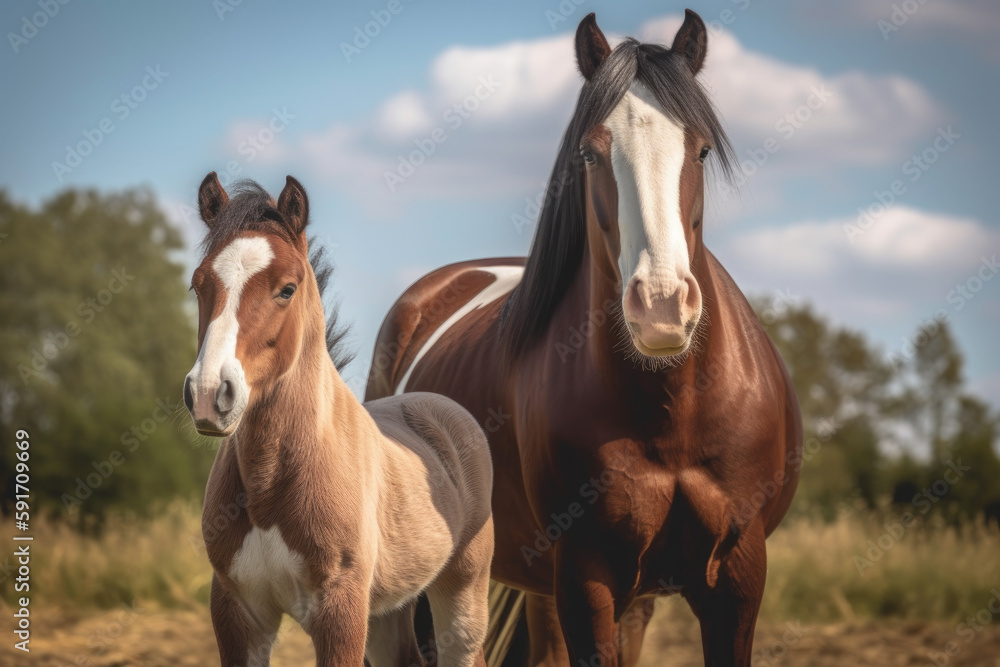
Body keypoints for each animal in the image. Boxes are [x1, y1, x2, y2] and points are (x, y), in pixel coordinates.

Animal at [185, 174, 496, 667]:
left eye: (287, 288)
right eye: (198, 286)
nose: (208, 394)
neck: (269, 482)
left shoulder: (340, 610)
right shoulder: (238, 611)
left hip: (463, 591)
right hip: (387, 612)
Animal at [368, 11, 804, 667]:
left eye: (701, 149)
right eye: (591, 154)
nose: (661, 307)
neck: (671, 411)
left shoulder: (736, 579)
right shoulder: (583, 578)